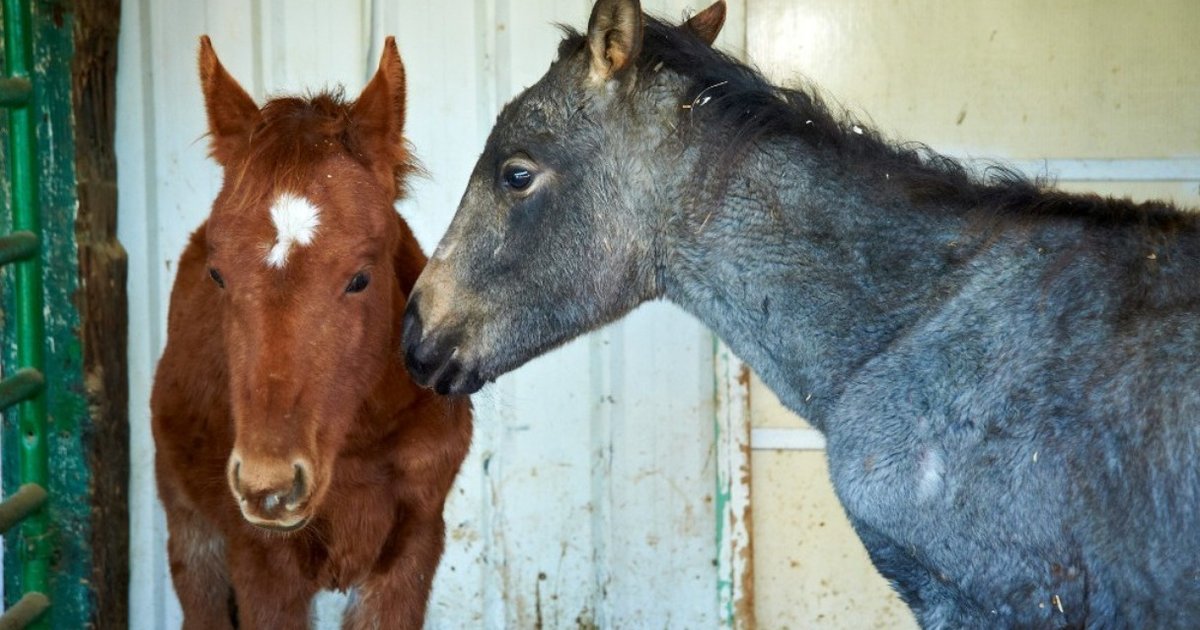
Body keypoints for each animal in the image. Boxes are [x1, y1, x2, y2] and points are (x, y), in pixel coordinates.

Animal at [151, 36, 472, 629]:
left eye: (360, 277)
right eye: (218, 273)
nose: (269, 485)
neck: (357, 443)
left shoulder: (410, 555)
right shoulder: (261, 567)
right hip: (190, 532)